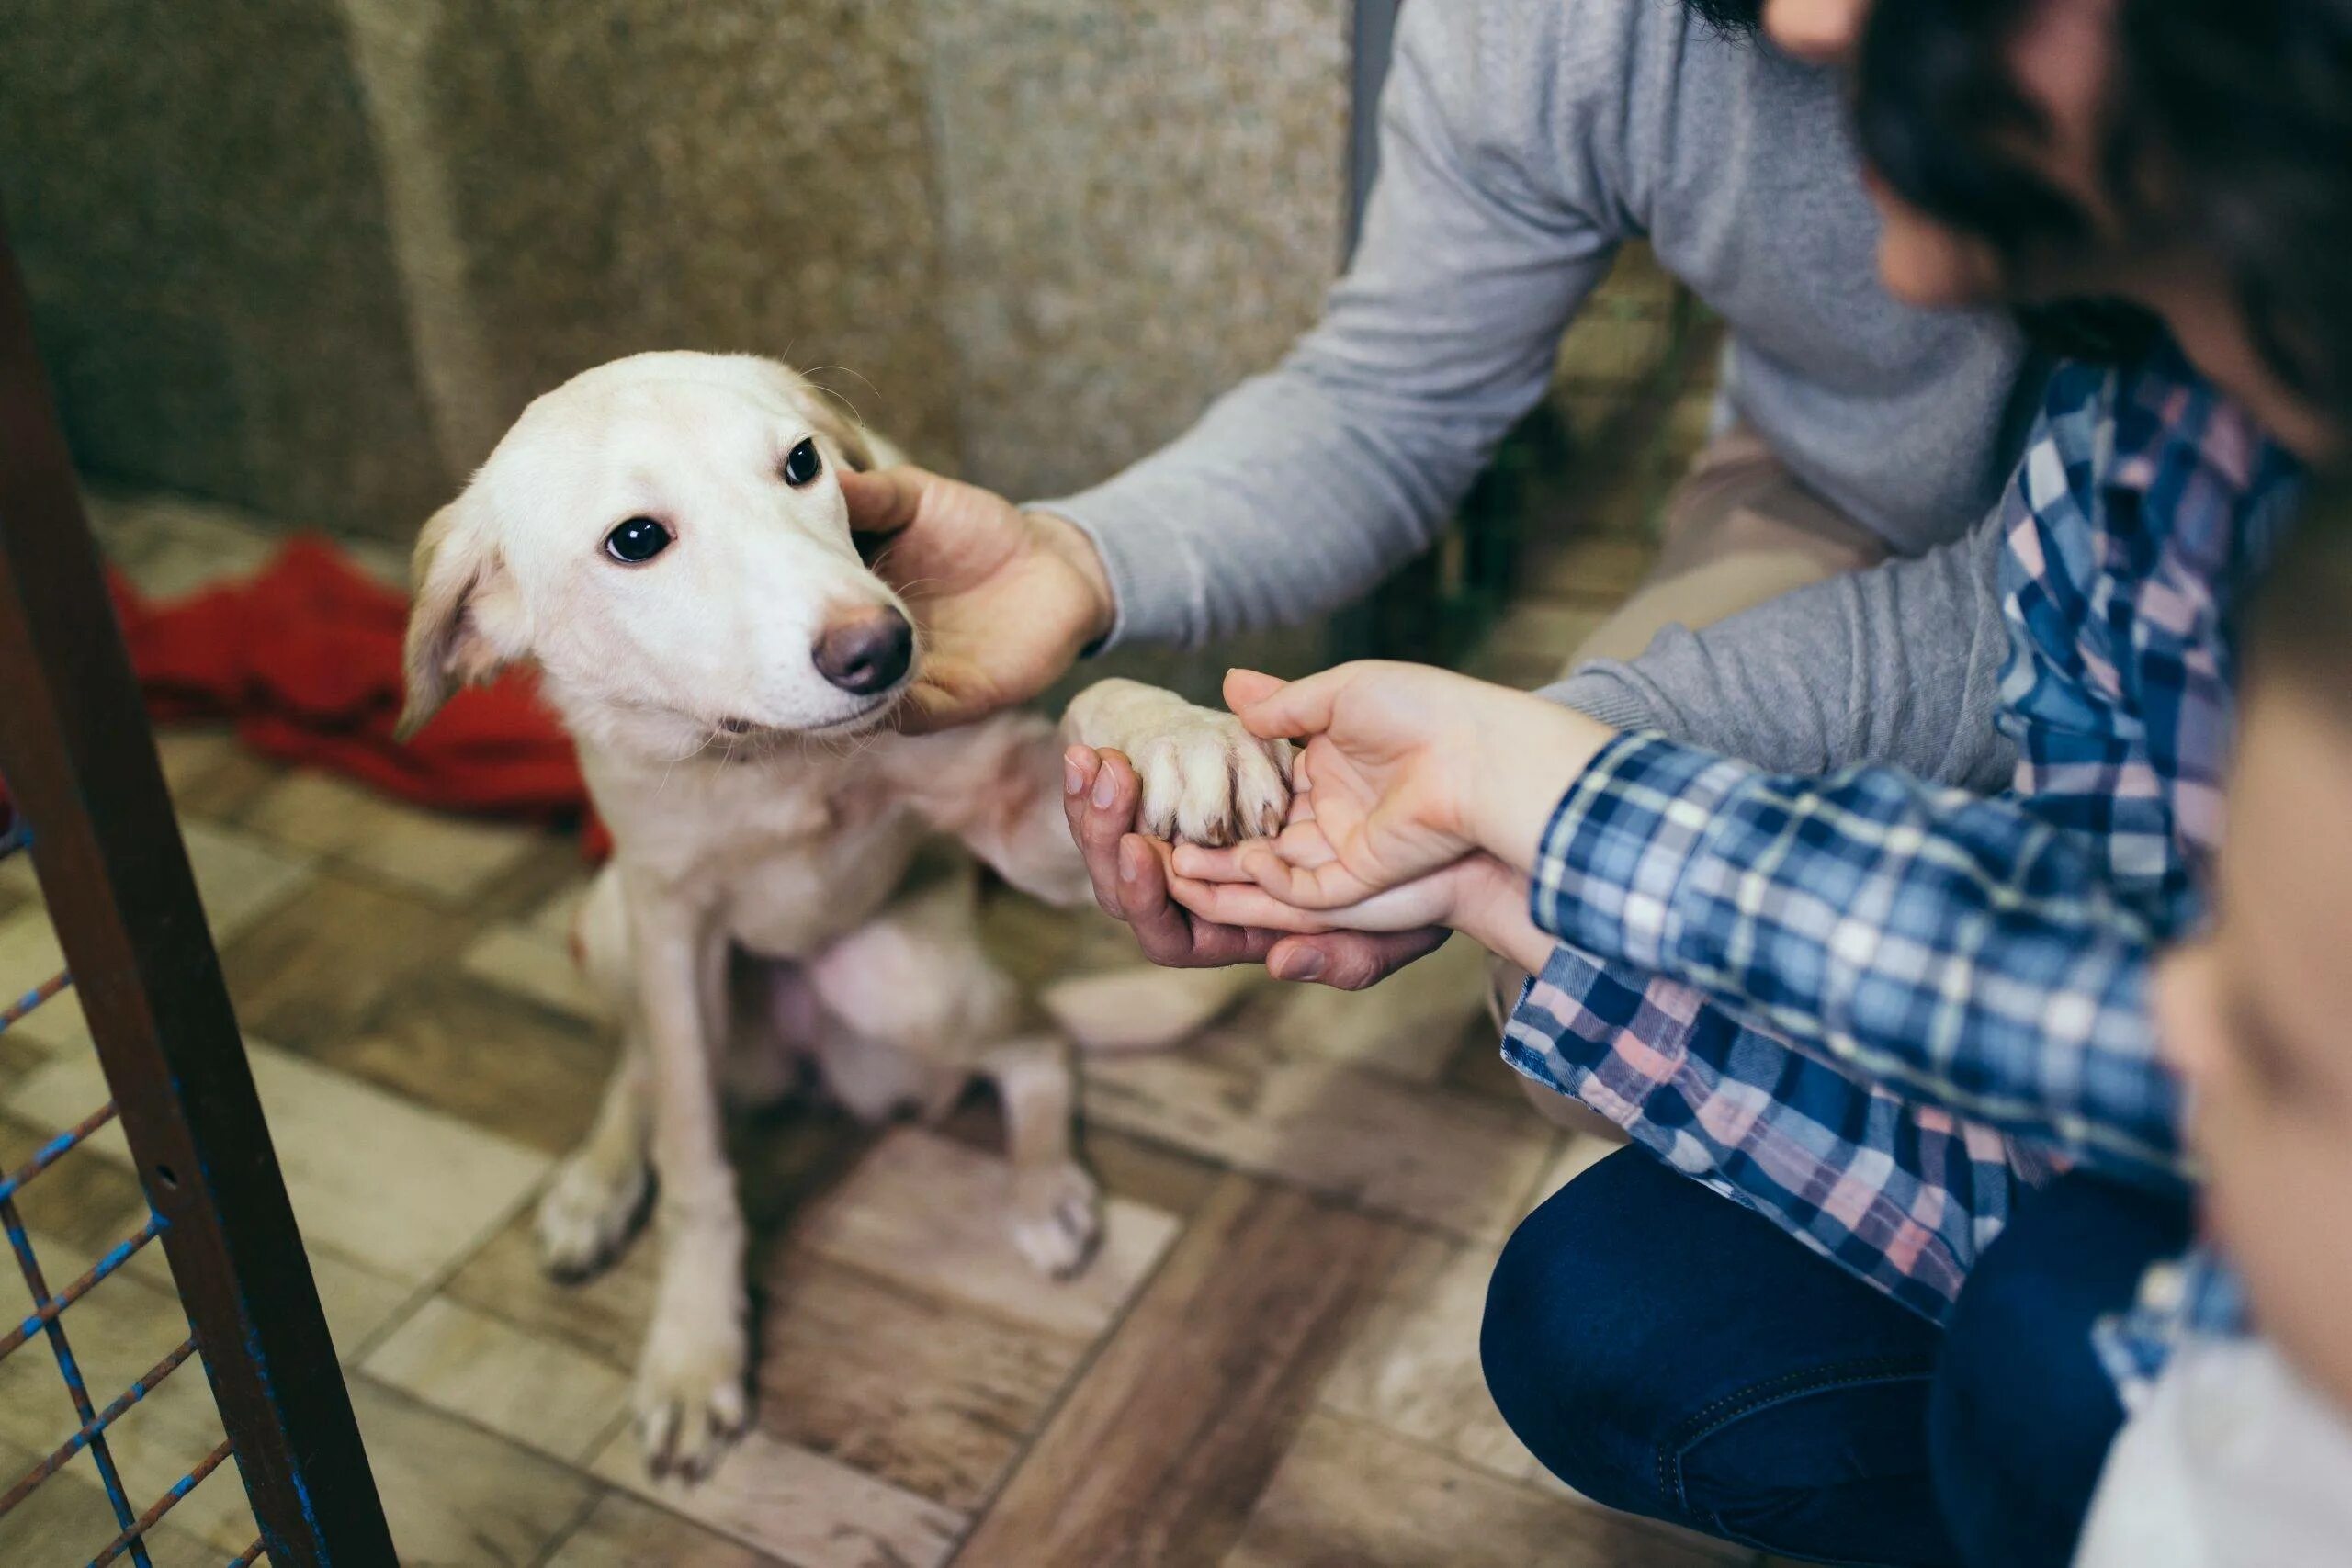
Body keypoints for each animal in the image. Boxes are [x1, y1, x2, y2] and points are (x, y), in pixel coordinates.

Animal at [404, 355, 1288, 1485]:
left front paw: (1181, 733)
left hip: (909, 983)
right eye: (636, 539)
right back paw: (596, 1183)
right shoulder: (667, 921)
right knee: (643, 1067)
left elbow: (1101, 712)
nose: (882, 648)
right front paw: (693, 1348)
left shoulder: (1010, 809)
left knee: (1037, 1043)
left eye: (802, 463)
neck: (769, 758)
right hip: (611, 927)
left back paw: (1045, 1185)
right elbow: (693, 1159)